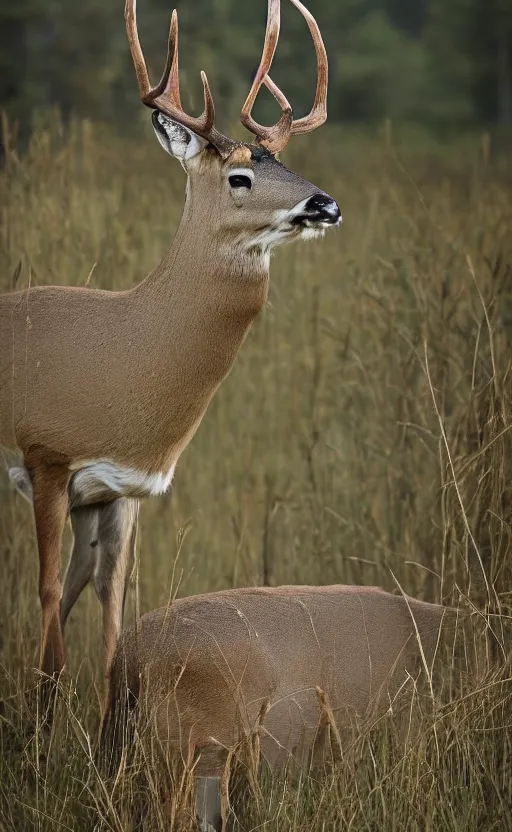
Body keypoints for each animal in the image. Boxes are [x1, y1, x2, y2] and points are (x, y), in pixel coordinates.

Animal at [2, 0, 342, 684]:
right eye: (239, 176)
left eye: (281, 163)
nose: (326, 204)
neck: (123, 351)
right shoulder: (45, 453)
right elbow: (48, 603)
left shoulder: (119, 486)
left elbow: (109, 606)